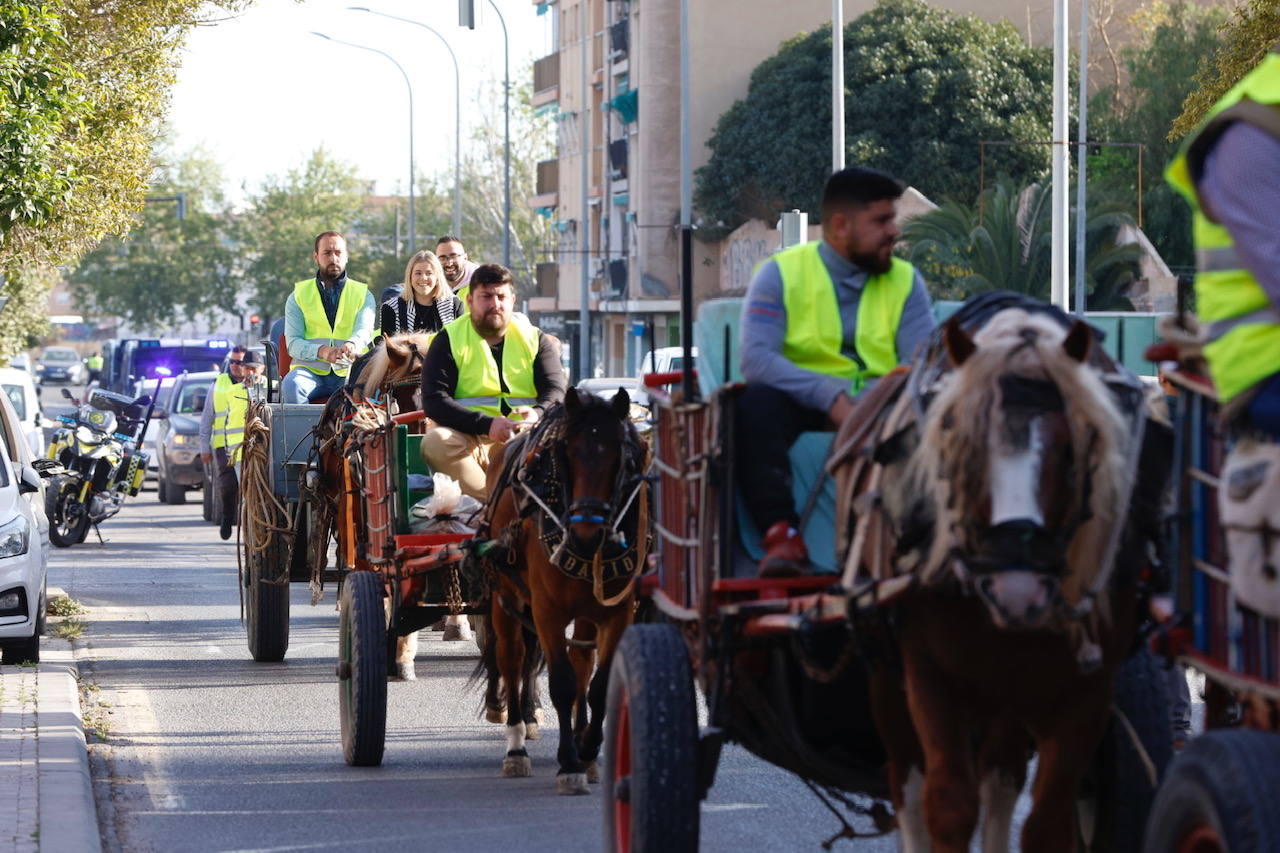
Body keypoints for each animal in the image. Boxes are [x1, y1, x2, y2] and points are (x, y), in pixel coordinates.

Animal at [478, 389, 650, 794]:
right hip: (505, 597)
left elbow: (598, 684)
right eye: (567, 455)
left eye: (621, 456)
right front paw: (569, 763)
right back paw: (516, 744)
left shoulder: (618, 611)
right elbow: (562, 683)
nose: (587, 532)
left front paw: (587, 750)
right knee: (512, 657)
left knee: (579, 662)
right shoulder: (548, 611)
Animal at [829, 294, 1172, 850]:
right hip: (881, 656)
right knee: (907, 780)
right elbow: (948, 806)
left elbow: (1046, 820)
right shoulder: (929, 674)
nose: (1017, 590)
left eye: (1073, 451)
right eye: (961, 443)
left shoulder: (1084, 691)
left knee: (1001, 776)